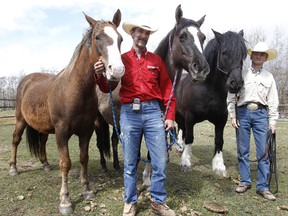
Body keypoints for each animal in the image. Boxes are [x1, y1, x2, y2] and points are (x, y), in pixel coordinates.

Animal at [8, 9, 124, 214]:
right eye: (97, 37)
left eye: (120, 39)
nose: (116, 71)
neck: (75, 90)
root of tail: (27, 80)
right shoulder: (62, 132)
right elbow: (66, 163)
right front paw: (65, 201)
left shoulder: (86, 132)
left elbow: (84, 158)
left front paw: (87, 191)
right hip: (20, 120)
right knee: (15, 140)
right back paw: (13, 169)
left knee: (42, 142)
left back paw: (45, 164)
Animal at [176, 29, 248, 176]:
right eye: (224, 52)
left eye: (243, 55)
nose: (236, 84)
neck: (209, 89)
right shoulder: (190, 117)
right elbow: (189, 137)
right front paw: (186, 162)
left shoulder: (221, 119)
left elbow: (219, 140)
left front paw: (219, 166)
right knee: (180, 129)